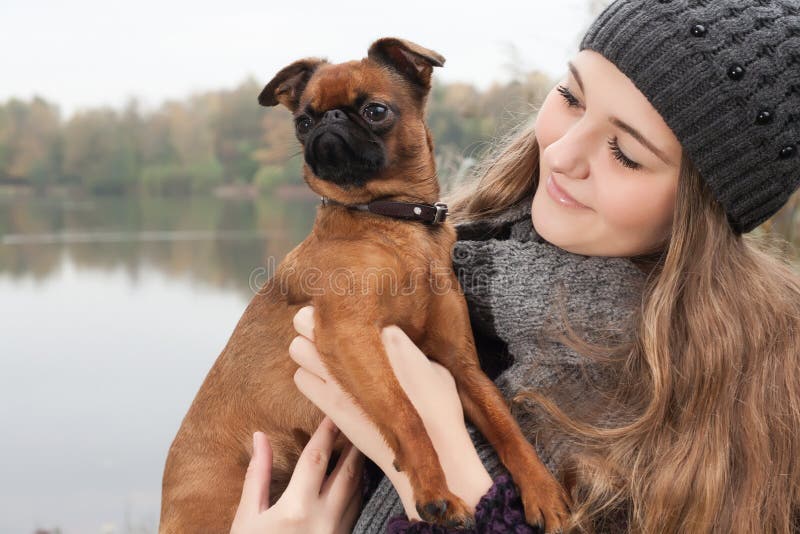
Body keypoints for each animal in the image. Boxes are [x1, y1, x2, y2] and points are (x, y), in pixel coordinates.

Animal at [159, 36, 568, 532]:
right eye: (303, 122)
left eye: (375, 110)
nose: (329, 121)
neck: (393, 223)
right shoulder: (351, 336)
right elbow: (407, 414)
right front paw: (433, 491)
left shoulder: (461, 364)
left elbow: (507, 428)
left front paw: (542, 490)